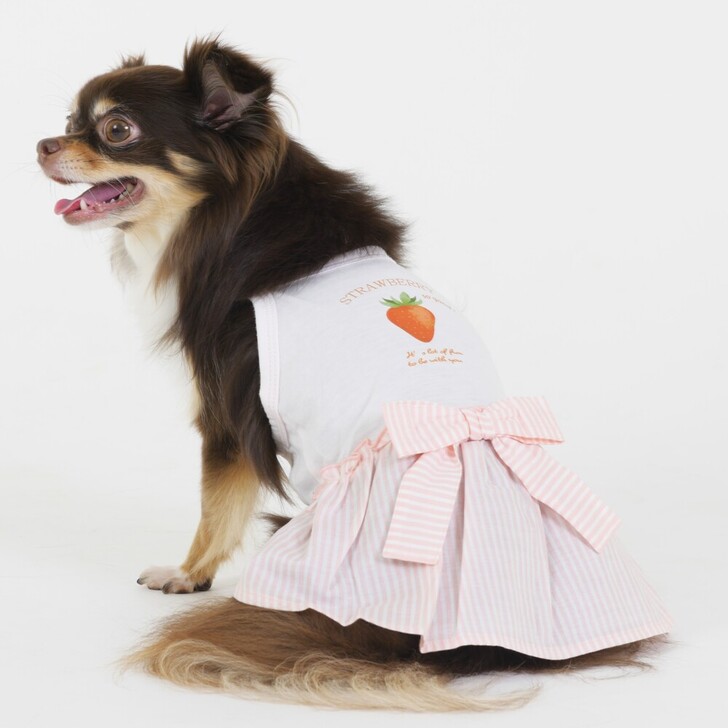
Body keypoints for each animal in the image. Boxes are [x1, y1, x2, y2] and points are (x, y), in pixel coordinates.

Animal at [37, 37, 670, 711]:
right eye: (71, 122)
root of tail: (476, 650)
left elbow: (216, 508)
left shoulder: (226, 418)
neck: (222, 222)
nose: (43, 143)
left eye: (116, 130)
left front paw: (187, 575)